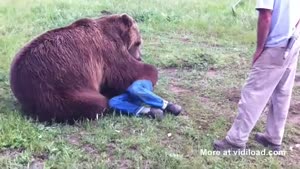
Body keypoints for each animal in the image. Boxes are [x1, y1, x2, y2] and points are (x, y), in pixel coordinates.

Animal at [9, 13, 158, 123]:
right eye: (138, 43)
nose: (139, 57)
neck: (117, 34)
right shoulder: (108, 51)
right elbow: (126, 72)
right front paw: (150, 74)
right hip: (61, 88)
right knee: (96, 104)